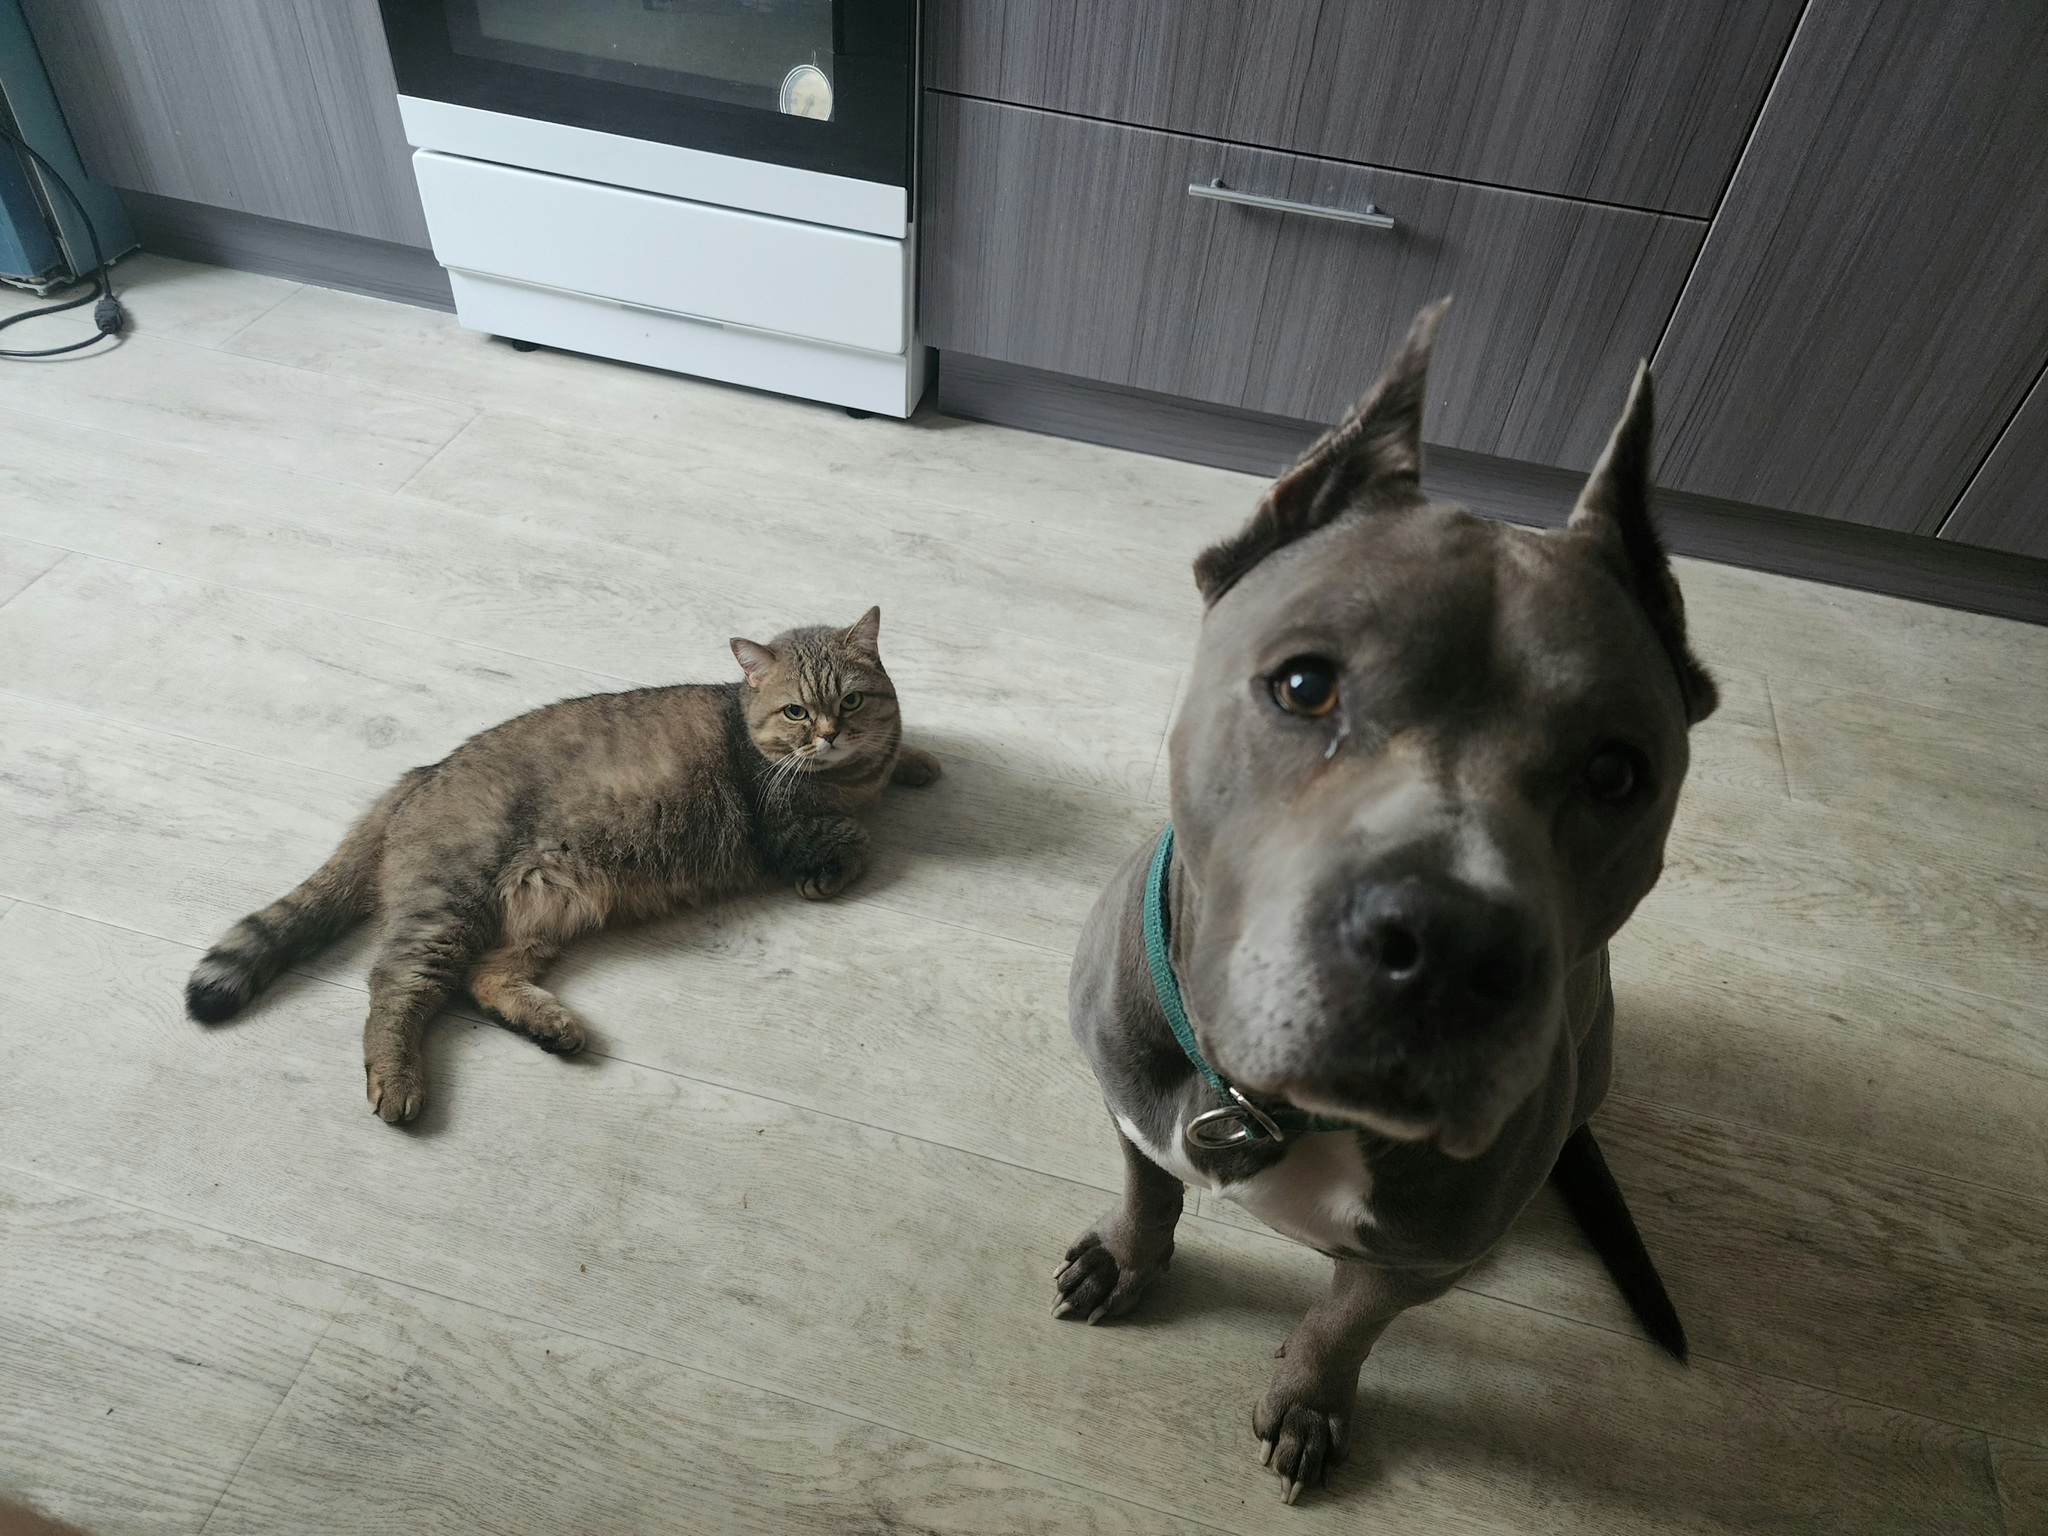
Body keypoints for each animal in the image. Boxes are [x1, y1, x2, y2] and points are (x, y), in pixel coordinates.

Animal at [184, 606, 938, 1123]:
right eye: (796, 711)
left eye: (851, 700)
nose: (831, 735)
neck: (849, 777)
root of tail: (421, 774)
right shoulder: (786, 826)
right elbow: (853, 841)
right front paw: (836, 862)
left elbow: (898, 755)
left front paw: (919, 760)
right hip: (448, 905)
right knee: (396, 985)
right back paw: (398, 1082)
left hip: (543, 911)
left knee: (483, 980)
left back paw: (549, 1027)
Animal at [1056, 300, 1717, 1503]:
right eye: (1304, 684)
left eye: (1616, 773)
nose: (1449, 944)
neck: (1268, 1106)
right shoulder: (1129, 1099)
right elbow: (1147, 1190)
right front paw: (1125, 1257)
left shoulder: (1419, 1260)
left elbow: (1345, 1322)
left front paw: (1309, 1400)